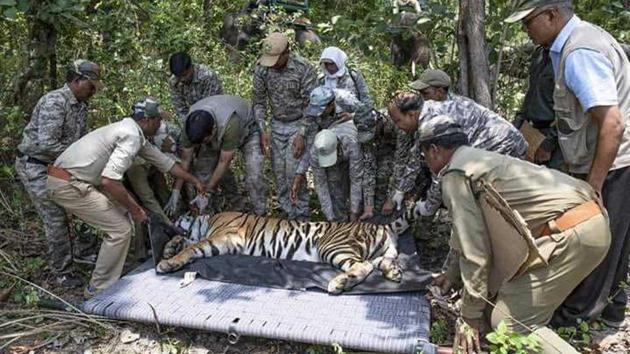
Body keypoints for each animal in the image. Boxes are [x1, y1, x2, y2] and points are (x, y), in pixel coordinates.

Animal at [156, 209, 420, 294]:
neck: (207, 219)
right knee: (381, 264)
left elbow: (193, 246)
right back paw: (394, 273)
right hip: (381, 254)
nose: (168, 218)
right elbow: (186, 241)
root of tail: (381, 225)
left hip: (333, 245)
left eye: (176, 216)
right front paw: (169, 248)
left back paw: (338, 283)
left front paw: (166, 262)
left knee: (361, 266)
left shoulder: (221, 238)